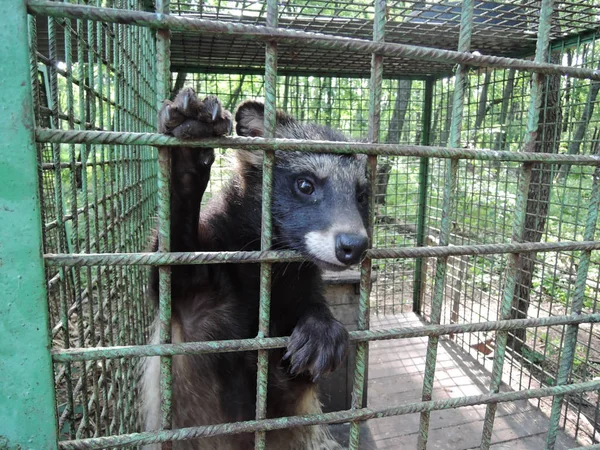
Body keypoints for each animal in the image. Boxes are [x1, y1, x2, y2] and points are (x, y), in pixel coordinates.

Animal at [144, 88, 370, 450]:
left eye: (361, 196)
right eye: (305, 185)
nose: (354, 246)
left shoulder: (300, 284)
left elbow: (291, 386)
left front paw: (320, 324)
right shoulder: (197, 291)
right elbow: (173, 264)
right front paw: (186, 161)